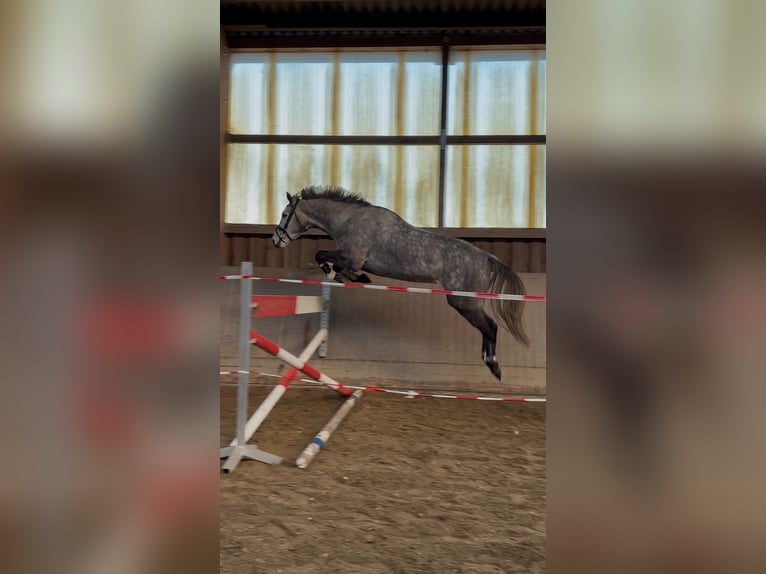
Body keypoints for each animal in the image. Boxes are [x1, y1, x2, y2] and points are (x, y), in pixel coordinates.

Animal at [272, 185, 530, 380]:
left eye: (285, 215)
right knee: (489, 327)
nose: (275, 240)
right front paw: (353, 277)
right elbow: (336, 264)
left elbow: (322, 256)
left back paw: (494, 366)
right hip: (467, 303)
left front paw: (338, 274)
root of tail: (486, 257)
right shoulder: (352, 260)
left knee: (490, 327)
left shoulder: (352, 258)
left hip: (463, 302)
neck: (348, 219)